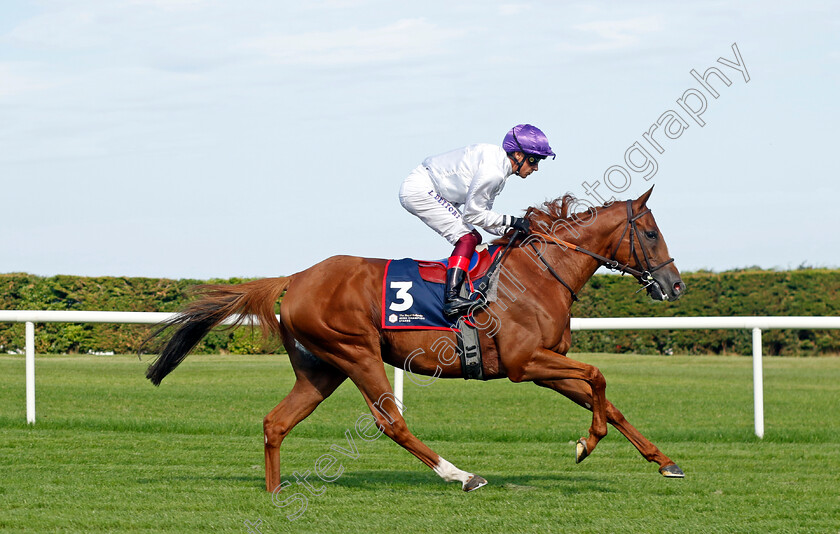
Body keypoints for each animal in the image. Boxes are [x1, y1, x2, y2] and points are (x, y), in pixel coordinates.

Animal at [144, 187, 684, 494]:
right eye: (651, 234)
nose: (674, 285)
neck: (539, 273)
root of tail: (296, 278)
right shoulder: (525, 363)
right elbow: (599, 376)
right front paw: (586, 444)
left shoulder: (546, 366)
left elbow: (607, 400)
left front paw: (665, 462)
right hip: (356, 352)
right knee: (391, 423)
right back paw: (461, 475)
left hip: (321, 369)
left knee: (276, 422)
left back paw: (275, 493)